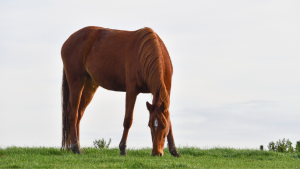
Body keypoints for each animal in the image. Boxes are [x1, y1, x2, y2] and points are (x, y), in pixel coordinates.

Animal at [59, 26, 179, 157]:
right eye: (150, 125)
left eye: (163, 126)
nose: (157, 153)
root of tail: (68, 41)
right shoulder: (131, 90)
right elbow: (128, 120)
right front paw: (122, 149)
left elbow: (169, 120)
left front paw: (174, 150)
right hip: (76, 82)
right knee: (73, 113)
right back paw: (76, 147)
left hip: (89, 85)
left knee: (79, 114)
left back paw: (77, 146)